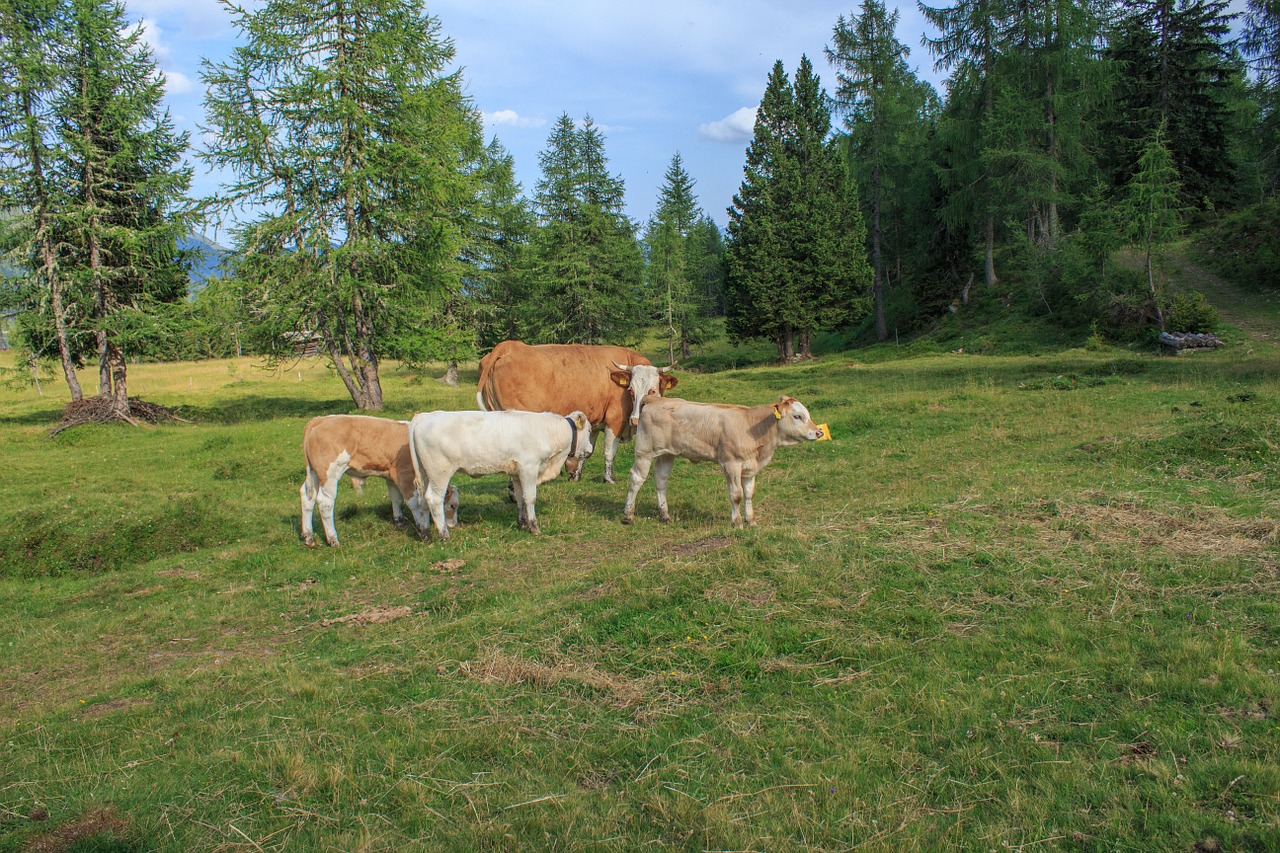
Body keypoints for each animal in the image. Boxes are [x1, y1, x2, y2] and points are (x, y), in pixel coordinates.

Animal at [299, 412, 460, 545]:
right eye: (453, 505)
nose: (454, 525)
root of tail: (319, 420)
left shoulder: (391, 478)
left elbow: (396, 499)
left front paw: (399, 522)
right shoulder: (405, 475)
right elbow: (414, 502)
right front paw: (422, 528)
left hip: (313, 473)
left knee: (307, 497)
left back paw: (308, 537)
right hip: (330, 474)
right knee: (325, 503)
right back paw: (333, 540)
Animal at [407, 407, 591, 537]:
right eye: (589, 431)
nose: (590, 450)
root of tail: (424, 416)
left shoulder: (516, 473)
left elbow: (520, 498)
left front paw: (522, 522)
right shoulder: (529, 468)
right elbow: (530, 498)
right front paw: (533, 526)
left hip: (425, 474)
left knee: (422, 500)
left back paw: (425, 532)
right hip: (440, 473)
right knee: (434, 499)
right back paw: (444, 534)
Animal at [478, 340, 680, 484]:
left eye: (652, 391)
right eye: (630, 390)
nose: (636, 420)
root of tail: (508, 346)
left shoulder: (595, 423)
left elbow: (586, 451)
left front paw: (575, 475)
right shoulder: (615, 421)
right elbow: (609, 452)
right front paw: (609, 479)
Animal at [622, 397, 824, 527]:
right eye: (797, 416)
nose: (819, 432)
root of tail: (655, 399)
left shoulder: (750, 468)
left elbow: (749, 494)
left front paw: (751, 521)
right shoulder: (731, 463)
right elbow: (736, 495)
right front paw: (737, 522)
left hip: (667, 454)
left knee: (661, 479)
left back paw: (665, 515)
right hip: (644, 451)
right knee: (636, 479)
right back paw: (628, 515)